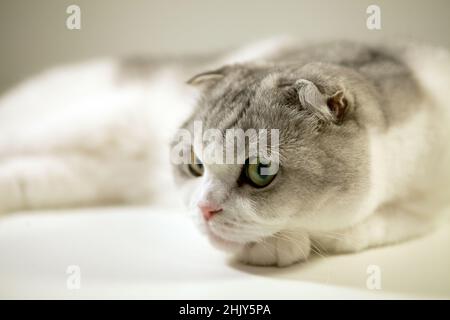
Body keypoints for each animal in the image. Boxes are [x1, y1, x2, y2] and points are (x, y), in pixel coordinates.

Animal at [0, 38, 450, 266]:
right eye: (195, 164)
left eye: (261, 172)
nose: (204, 208)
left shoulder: (423, 206)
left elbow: (366, 229)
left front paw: (288, 243)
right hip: (79, 124)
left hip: (76, 173)